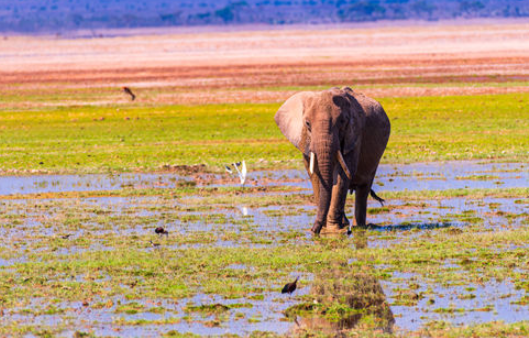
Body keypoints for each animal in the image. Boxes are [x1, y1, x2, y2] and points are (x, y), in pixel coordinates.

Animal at [274, 87, 390, 235]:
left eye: (342, 122)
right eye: (307, 124)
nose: (313, 230)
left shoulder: (354, 136)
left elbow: (342, 175)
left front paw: (334, 230)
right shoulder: (305, 141)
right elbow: (315, 175)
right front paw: (326, 228)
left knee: (363, 188)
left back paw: (358, 227)